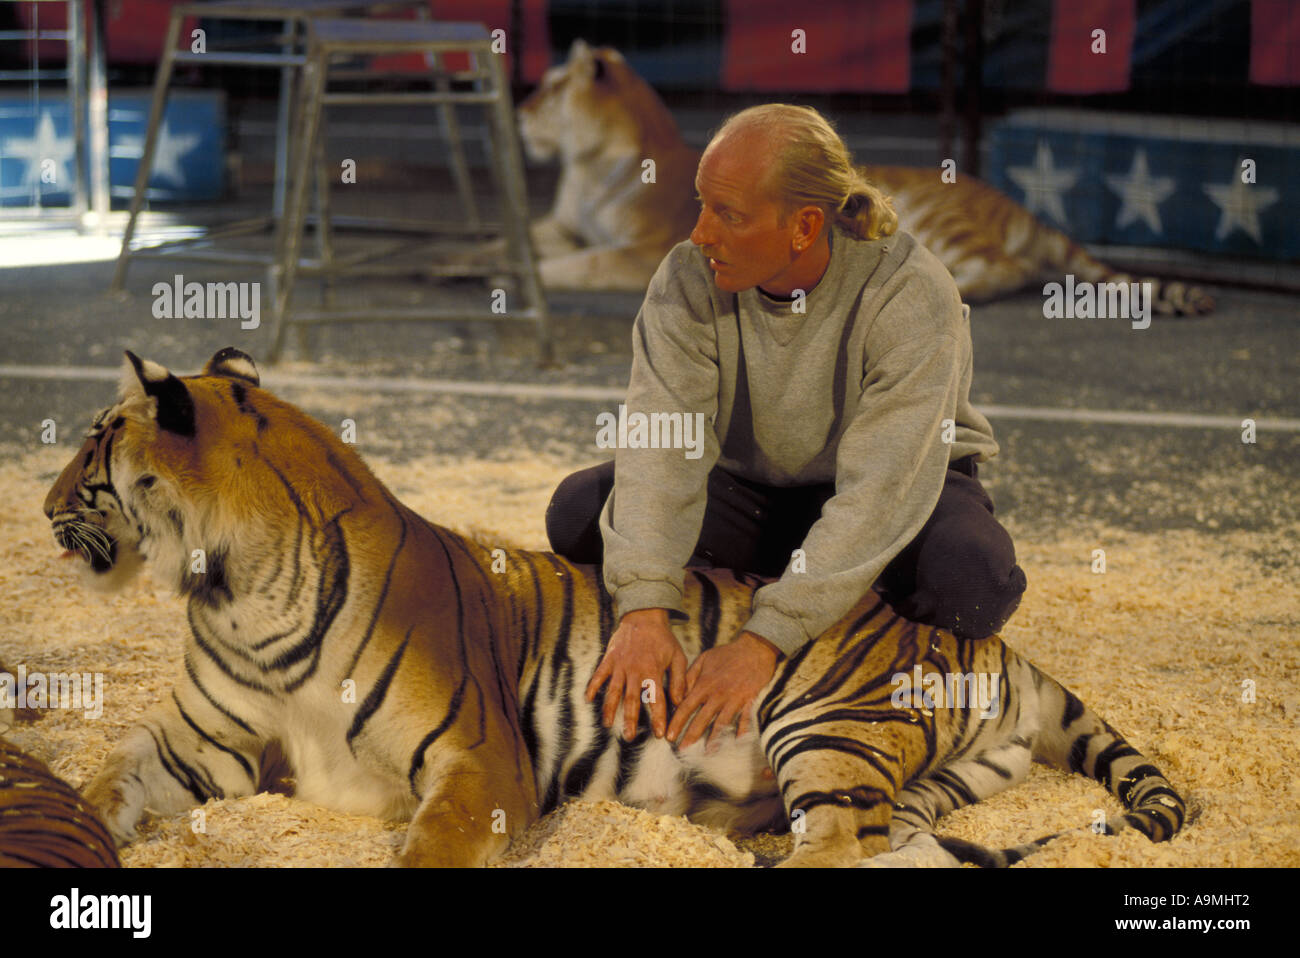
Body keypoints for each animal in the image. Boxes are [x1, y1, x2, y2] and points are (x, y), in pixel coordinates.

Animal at [45, 345, 1190, 868]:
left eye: (96, 442)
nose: (48, 505)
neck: (232, 591)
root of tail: (984, 646)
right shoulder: (199, 747)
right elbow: (100, 785)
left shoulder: (479, 762)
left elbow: (426, 848)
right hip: (916, 783)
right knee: (892, 849)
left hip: (822, 725)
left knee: (841, 847)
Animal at [512, 41, 1211, 317]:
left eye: (550, 87)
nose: (518, 112)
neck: (584, 164)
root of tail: (1015, 203)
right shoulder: (562, 225)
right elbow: (521, 240)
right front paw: (487, 258)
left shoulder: (646, 246)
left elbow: (582, 265)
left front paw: (520, 279)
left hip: (937, 219)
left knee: (1005, 268)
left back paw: (958, 289)